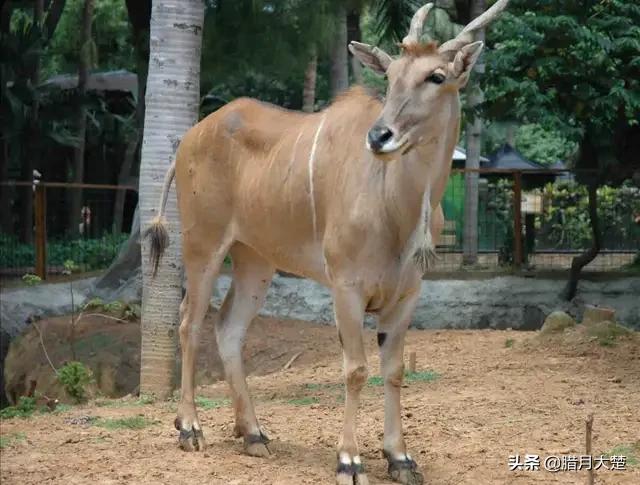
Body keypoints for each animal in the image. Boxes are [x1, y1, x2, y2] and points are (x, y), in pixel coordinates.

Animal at [145, 1, 510, 482]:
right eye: (391, 77)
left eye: (436, 76)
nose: (379, 136)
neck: (396, 205)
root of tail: (188, 139)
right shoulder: (346, 288)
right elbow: (355, 370)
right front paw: (349, 460)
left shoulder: (407, 294)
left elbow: (394, 370)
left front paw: (400, 458)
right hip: (203, 245)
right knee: (189, 321)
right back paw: (189, 428)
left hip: (255, 260)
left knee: (229, 328)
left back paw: (253, 434)